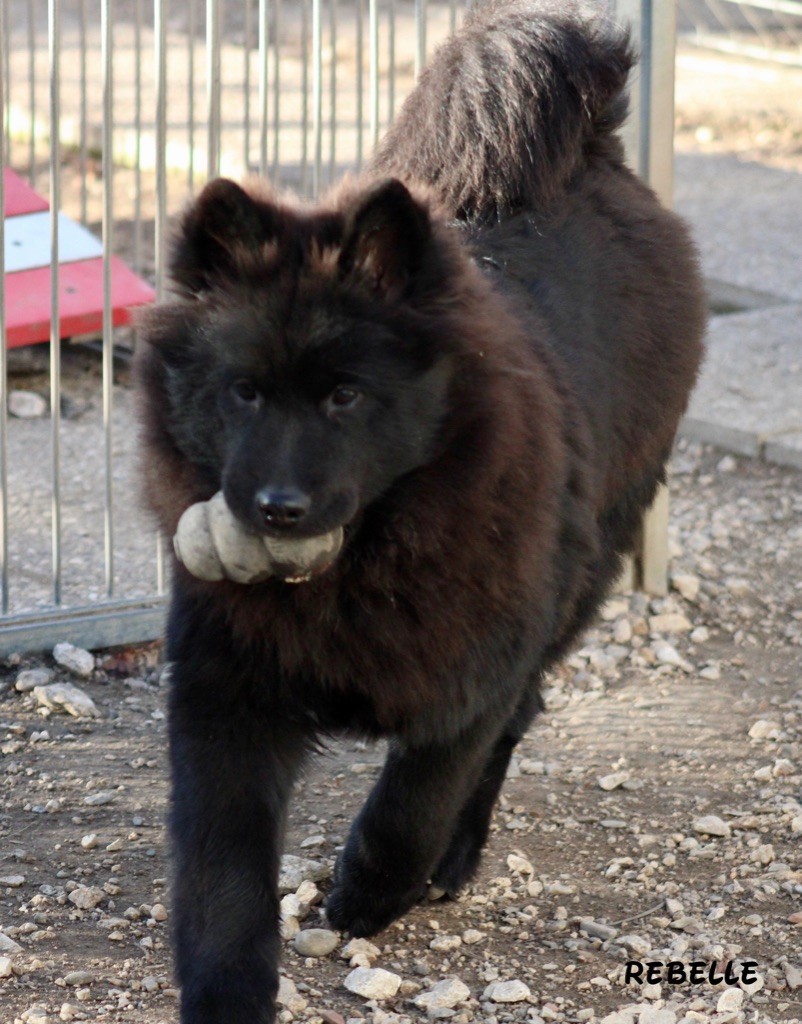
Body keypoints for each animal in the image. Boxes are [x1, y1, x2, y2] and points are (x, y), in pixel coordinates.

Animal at [135, 4, 704, 1019]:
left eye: (346, 398)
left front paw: (367, 892)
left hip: (584, 571)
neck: (356, 570)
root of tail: (596, 154)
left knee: (518, 722)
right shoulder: (222, 695)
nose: (275, 509)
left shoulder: (473, 676)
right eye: (242, 392)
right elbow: (221, 877)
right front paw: (226, 991)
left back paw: (453, 862)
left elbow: (414, 804)